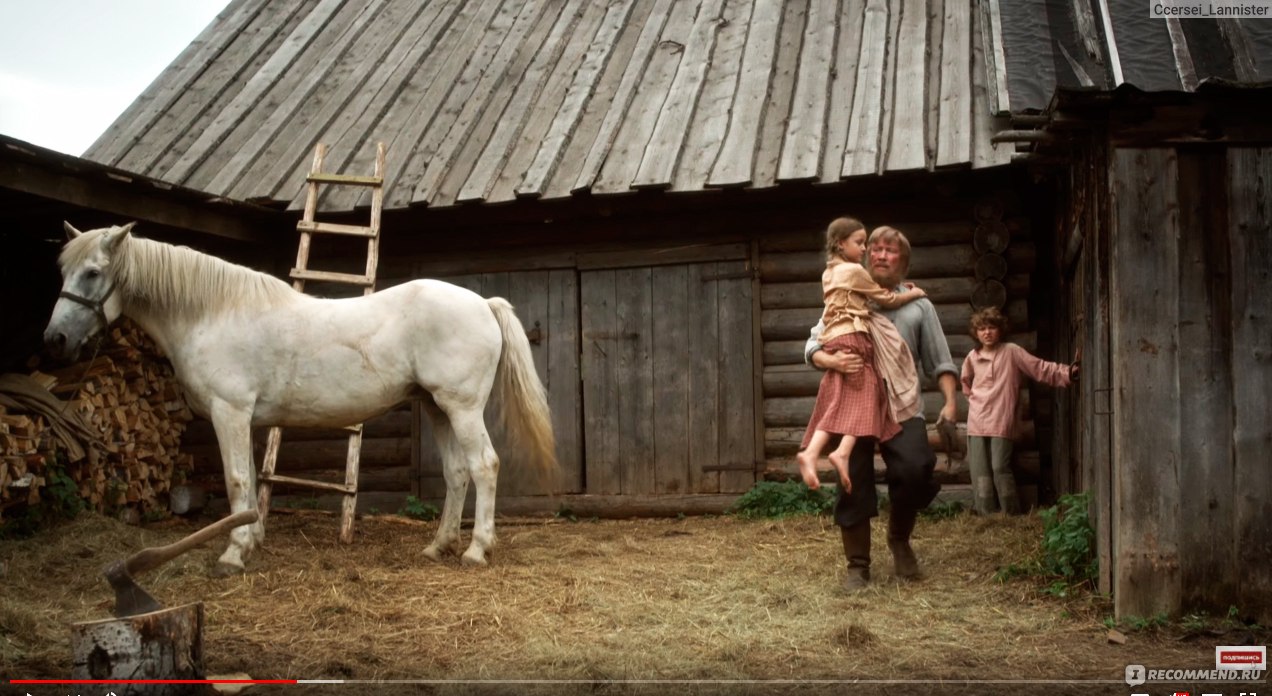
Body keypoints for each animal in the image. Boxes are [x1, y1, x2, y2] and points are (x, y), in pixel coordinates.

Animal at [47, 221, 554, 572]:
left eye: (93, 273)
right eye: (64, 271)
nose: (55, 339)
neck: (215, 312)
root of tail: (483, 303)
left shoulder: (229, 412)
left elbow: (236, 481)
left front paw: (232, 556)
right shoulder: (246, 419)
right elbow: (252, 481)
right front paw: (250, 540)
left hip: (461, 408)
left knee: (484, 466)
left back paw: (476, 550)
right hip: (436, 407)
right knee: (456, 473)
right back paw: (437, 546)